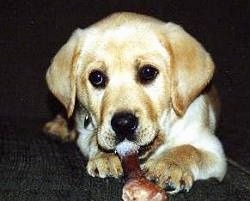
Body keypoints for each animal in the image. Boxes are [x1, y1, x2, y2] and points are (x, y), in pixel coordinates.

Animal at [44, 12, 227, 193]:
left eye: (148, 72)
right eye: (96, 78)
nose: (123, 124)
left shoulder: (214, 150)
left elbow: (189, 149)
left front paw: (169, 165)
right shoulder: (85, 132)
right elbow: (94, 139)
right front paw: (106, 155)